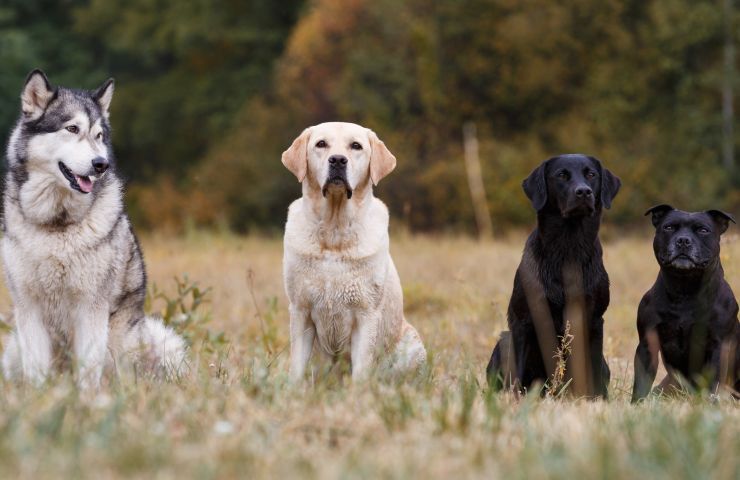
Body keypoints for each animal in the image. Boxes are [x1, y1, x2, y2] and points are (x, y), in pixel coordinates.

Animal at [486, 155, 620, 398]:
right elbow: (517, 372)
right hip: (504, 341)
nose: (584, 192)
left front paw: (597, 399)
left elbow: (593, 368)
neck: (568, 250)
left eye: (591, 174)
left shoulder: (595, 319)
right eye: (561, 175)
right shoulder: (523, 320)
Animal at [632, 204, 740, 400]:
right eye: (668, 227)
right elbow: (641, 384)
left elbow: (712, 383)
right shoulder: (646, 344)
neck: (684, 289)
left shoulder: (718, 345)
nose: (683, 240)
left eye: (703, 230)